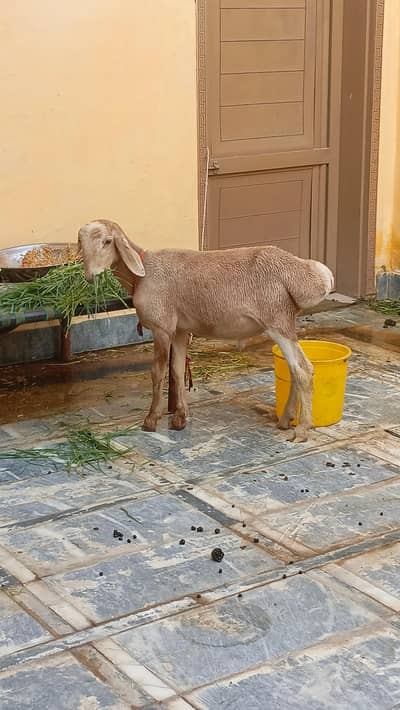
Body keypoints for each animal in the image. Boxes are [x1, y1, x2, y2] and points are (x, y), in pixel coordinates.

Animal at [78, 219, 334, 442]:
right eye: (81, 244)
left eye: (108, 241)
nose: (91, 276)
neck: (142, 273)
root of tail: (307, 274)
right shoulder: (180, 330)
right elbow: (177, 371)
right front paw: (180, 418)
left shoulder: (162, 328)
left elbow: (157, 373)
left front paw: (151, 420)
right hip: (283, 322)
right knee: (293, 370)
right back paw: (285, 419)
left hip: (277, 321)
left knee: (303, 370)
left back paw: (302, 429)